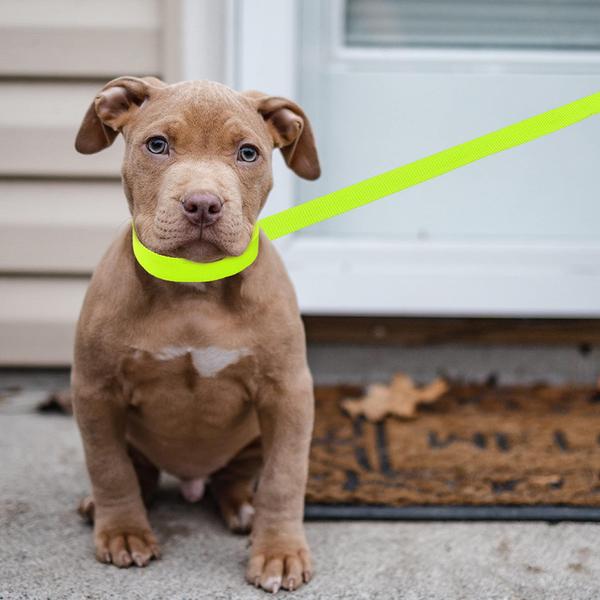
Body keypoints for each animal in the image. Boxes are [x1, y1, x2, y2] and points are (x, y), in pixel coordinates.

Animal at [71, 76, 318, 596]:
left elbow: (285, 477)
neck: (194, 291)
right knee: (136, 471)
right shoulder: (95, 389)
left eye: (248, 153)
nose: (203, 204)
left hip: (253, 438)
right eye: (157, 145)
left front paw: (280, 553)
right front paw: (123, 533)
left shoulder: (288, 393)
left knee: (236, 477)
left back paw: (244, 507)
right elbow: (108, 467)